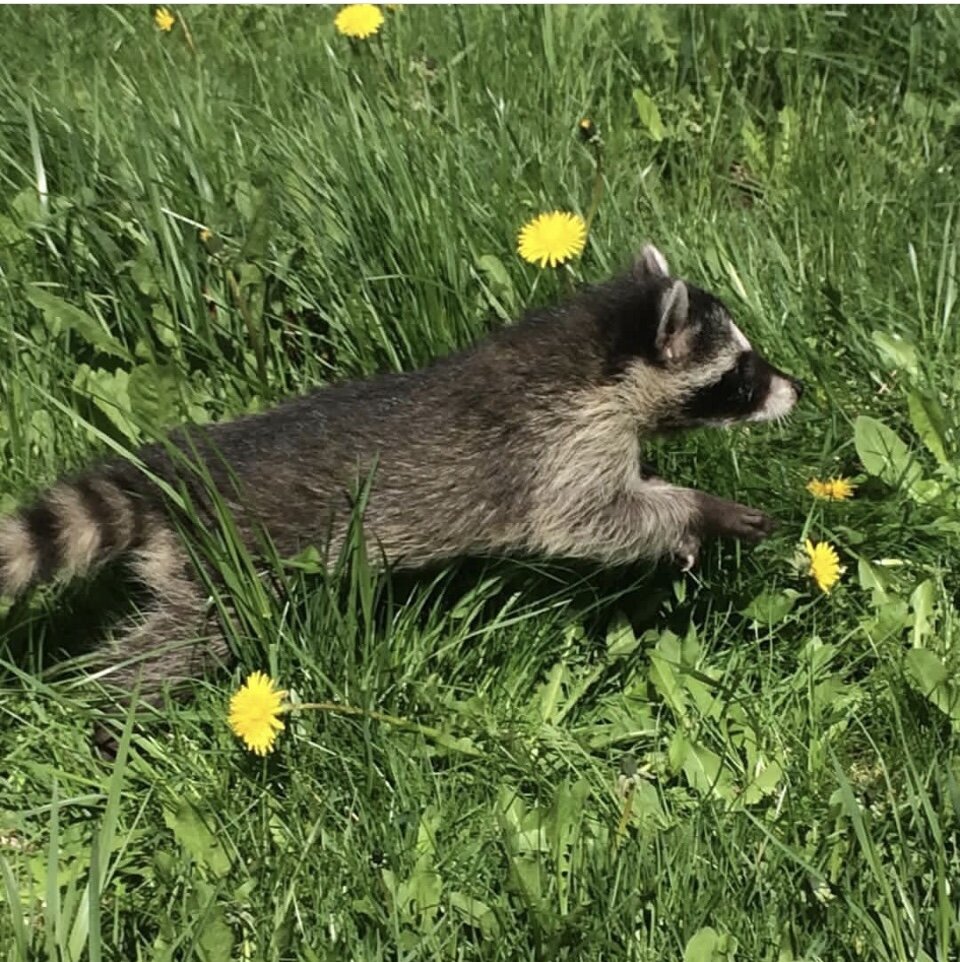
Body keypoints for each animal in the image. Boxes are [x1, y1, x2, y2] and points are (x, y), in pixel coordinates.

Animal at [0, 246, 804, 736]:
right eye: (740, 374)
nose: (796, 389)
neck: (589, 350)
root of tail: (175, 472)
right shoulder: (554, 449)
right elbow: (591, 521)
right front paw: (698, 511)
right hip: (221, 565)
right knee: (176, 643)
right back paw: (112, 706)